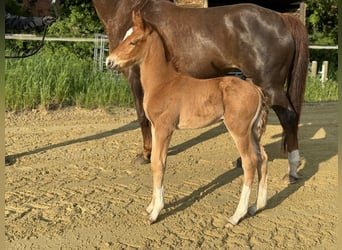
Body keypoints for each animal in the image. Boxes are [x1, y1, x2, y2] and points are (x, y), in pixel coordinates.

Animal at [93, 0, 310, 182]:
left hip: (270, 85)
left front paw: (145, 154)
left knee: (289, 118)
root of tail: (282, 17)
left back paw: (291, 171)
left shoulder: (134, 77)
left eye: (133, 41)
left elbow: (142, 116)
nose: (109, 61)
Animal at [105, 12, 268, 227]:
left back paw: (235, 216)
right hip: (253, 132)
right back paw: (257, 206)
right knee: (262, 158)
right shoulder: (156, 128)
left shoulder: (165, 128)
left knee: (249, 162)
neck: (163, 83)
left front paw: (155, 213)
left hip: (239, 130)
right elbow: (156, 162)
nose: (109, 61)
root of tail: (256, 89)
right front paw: (151, 206)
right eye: (125, 36)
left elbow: (159, 163)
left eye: (134, 41)